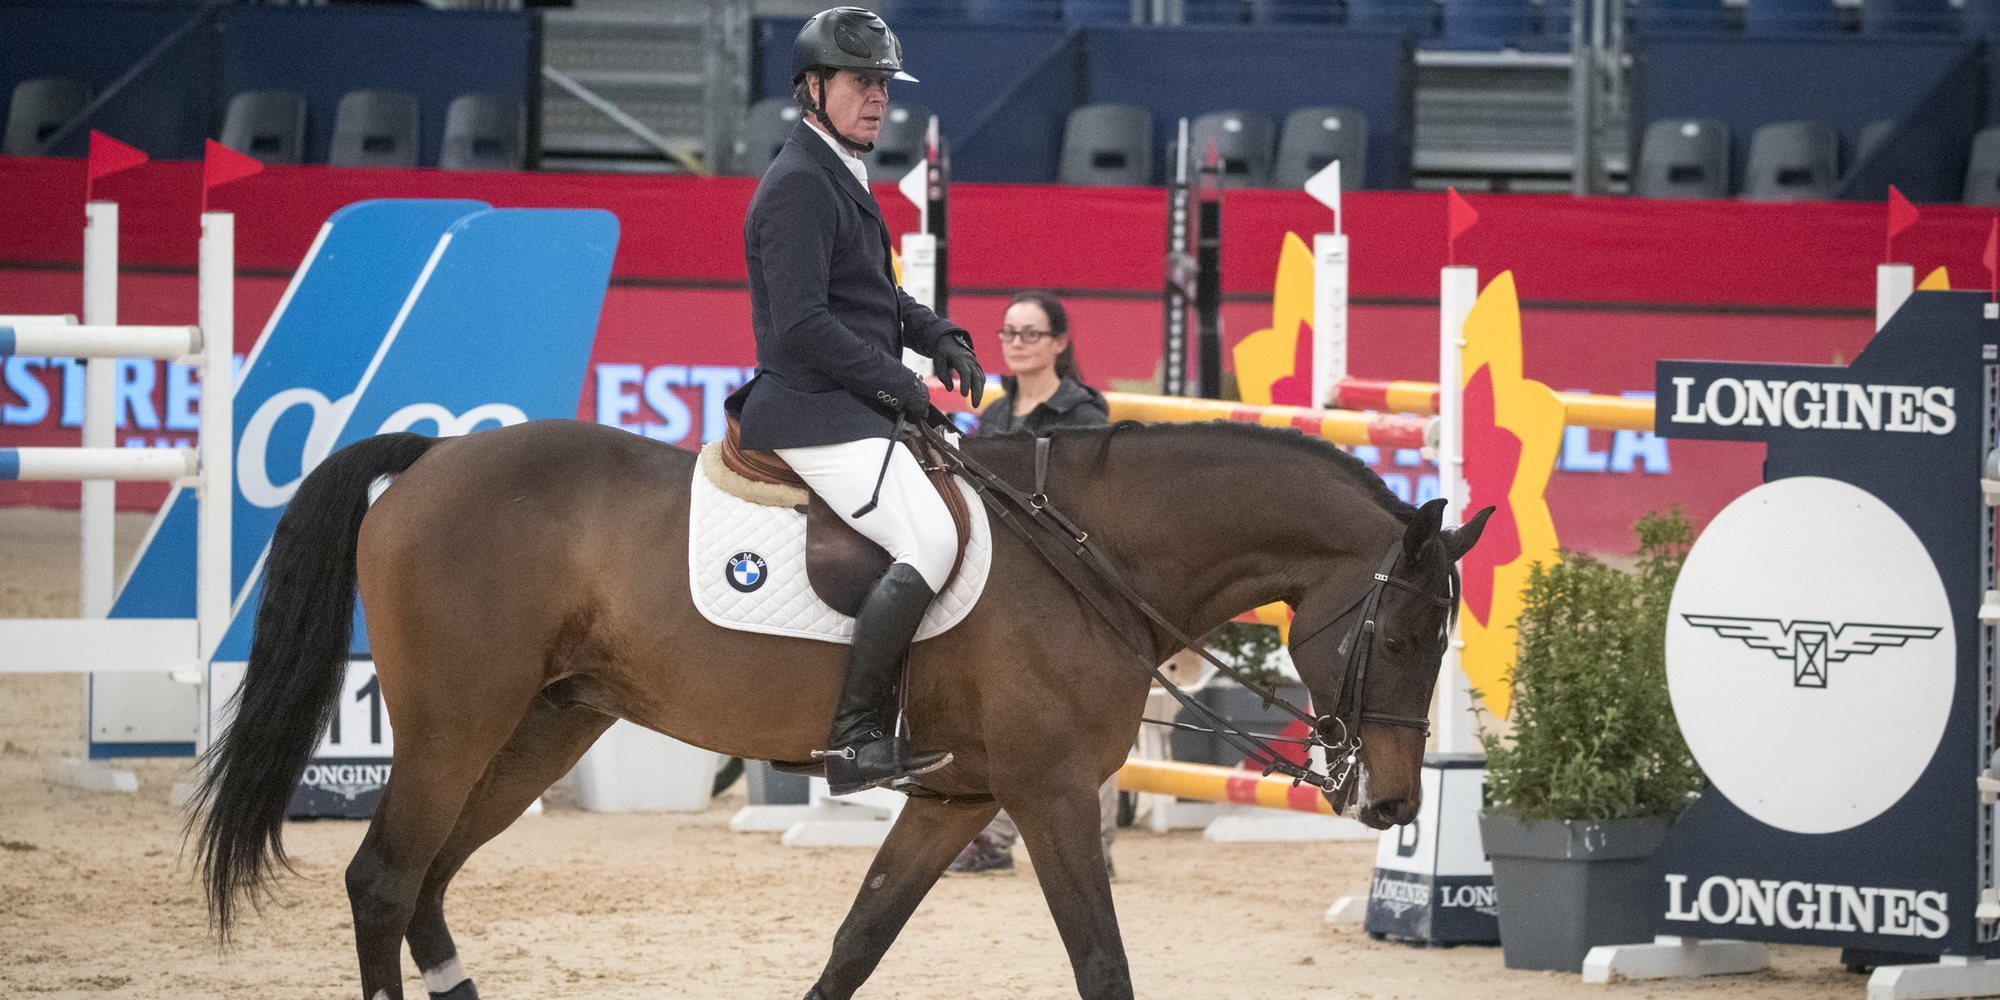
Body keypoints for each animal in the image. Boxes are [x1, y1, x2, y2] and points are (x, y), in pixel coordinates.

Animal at [191, 416, 1488, 1000]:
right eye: (1403, 636)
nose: (1385, 803)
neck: (1092, 556)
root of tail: (430, 457)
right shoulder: (1048, 793)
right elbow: (1101, 961)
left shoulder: (958, 796)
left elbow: (858, 941)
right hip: (460, 718)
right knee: (384, 878)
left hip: (543, 723)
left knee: (429, 880)